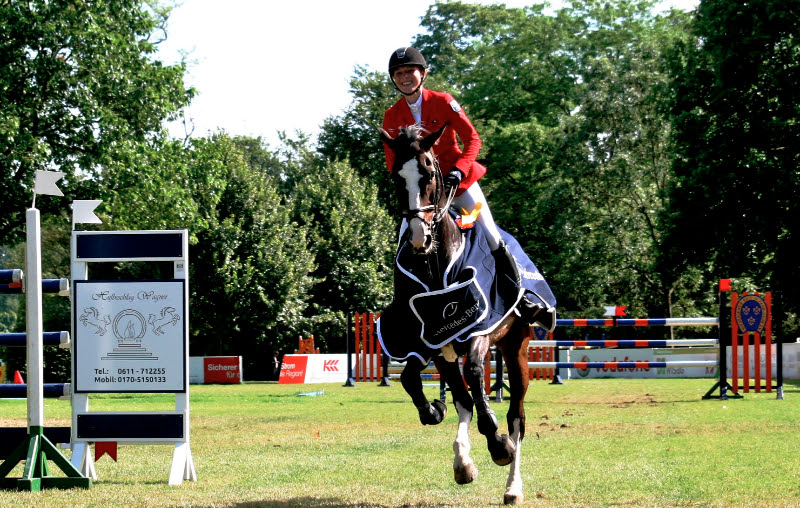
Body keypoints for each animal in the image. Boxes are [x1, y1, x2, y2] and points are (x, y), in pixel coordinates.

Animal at [376, 124, 552, 504]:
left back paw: (513, 486)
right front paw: (436, 415)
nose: (418, 237)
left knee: (517, 416)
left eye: (428, 174)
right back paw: (465, 458)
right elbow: (420, 383)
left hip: (515, 348)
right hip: (450, 352)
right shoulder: (431, 343)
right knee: (464, 400)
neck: (434, 265)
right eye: (397, 178)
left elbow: (474, 376)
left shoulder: (477, 331)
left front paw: (498, 445)